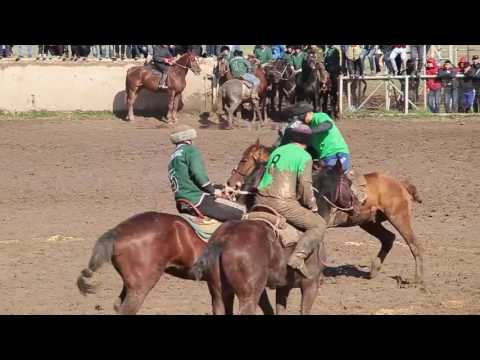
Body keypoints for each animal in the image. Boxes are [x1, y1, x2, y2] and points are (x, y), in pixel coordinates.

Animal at [227, 140, 426, 286]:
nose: (230, 182)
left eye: (244, 160)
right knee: (388, 238)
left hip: (398, 217)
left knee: (414, 244)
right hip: (369, 222)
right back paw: (374, 271)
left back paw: (417, 280)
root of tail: (400, 184)